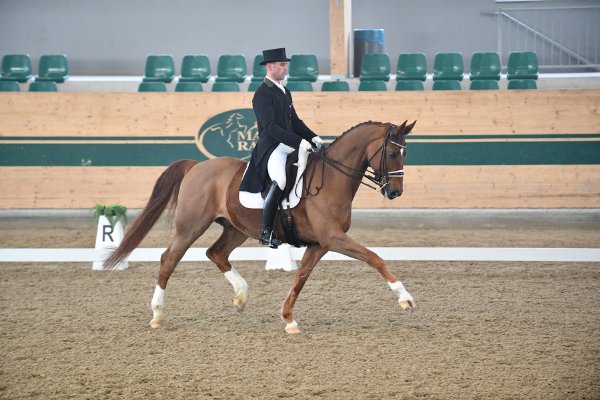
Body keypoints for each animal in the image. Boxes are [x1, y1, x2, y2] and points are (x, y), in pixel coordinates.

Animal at [105, 120, 414, 332]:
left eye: (405, 153)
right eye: (393, 154)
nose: (395, 192)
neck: (331, 178)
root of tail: (197, 166)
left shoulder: (319, 244)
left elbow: (301, 277)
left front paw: (288, 319)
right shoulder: (333, 238)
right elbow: (375, 258)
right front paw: (405, 298)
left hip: (235, 228)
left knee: (216, 253)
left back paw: (240, 296)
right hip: (190, 226)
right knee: (169, 259)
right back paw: (157, 314)